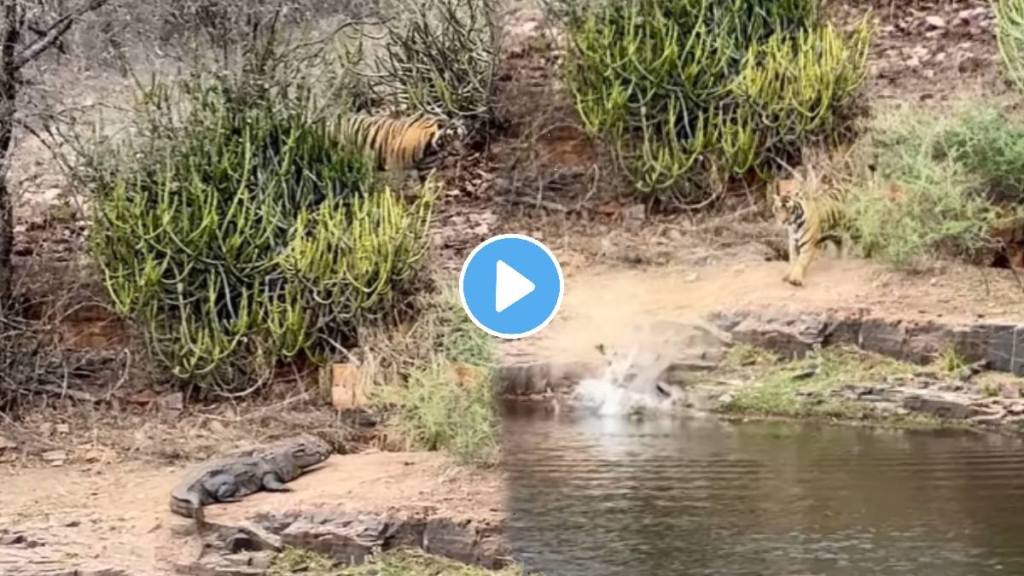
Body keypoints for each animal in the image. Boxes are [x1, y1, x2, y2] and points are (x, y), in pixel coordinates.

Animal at [770, 157, 850, 287]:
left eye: (789, 209)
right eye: (778, 209)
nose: (783, 221)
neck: (794, 225)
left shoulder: (807, 246)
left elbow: (800, 262)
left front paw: (795, 279)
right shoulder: (793, 243)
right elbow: (793, 261)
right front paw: (788, 274)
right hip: (835, 235)